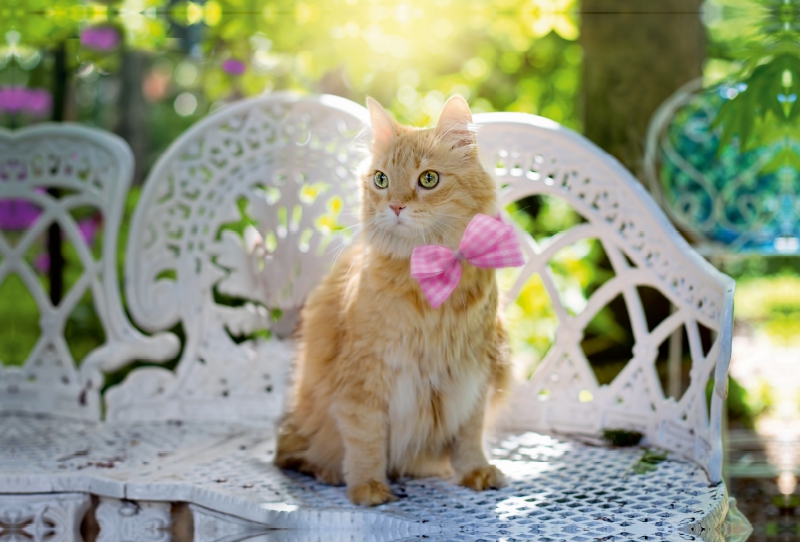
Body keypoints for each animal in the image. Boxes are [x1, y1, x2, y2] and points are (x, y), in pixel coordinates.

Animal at [276, 95, 512, 508]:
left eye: (428, 179)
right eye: (381, 180)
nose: (396, 206)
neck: (427, 279)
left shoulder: (475, 371)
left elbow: (469, 434)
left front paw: (475, 471)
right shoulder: (365, 377)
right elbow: (365, 439)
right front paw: (368, 487)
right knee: (297, 453)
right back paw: (328, 471)